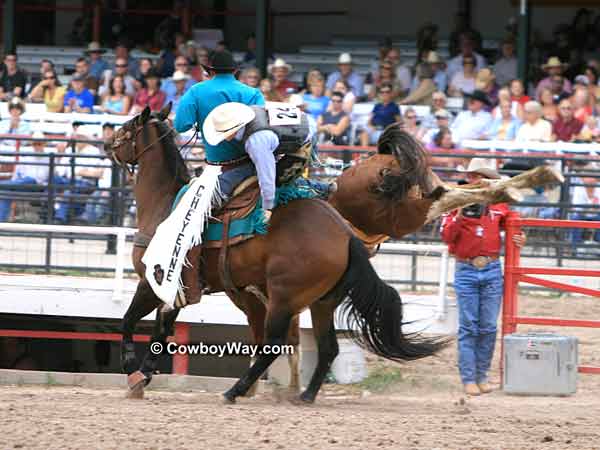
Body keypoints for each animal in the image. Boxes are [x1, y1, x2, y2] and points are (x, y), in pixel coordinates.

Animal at [105, 105, 448, 404]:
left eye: (127, 126)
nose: (108, 141)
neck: (164, 205)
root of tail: (345, 234)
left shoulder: (151, 281)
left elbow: (129, 321)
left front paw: (132, 374)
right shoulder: (173, 288)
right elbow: (161, 331)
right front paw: (145, 375)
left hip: (284, 298)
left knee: (273, 346)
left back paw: (235, 391)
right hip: (321, 302)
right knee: (327, 348)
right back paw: (305, 395)